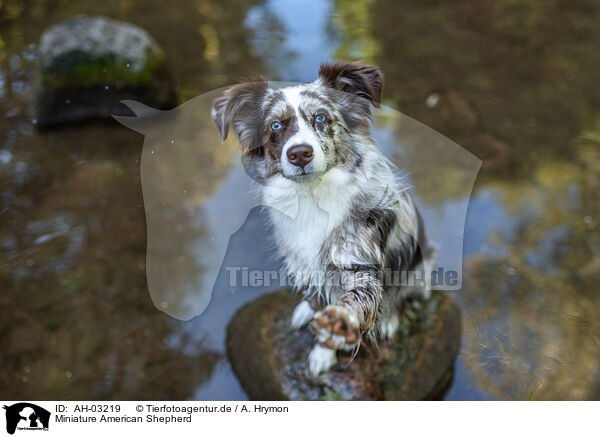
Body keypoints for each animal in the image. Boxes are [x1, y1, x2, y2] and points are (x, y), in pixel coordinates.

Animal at [212, 61, 436, 374]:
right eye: (275, 125)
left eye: (321, 117)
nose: (299, 154)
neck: (313, 197)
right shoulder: (301, 258)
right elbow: (317, 296)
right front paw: (316, 322)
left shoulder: (358, 259)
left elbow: (358, 300)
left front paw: (332, 336)